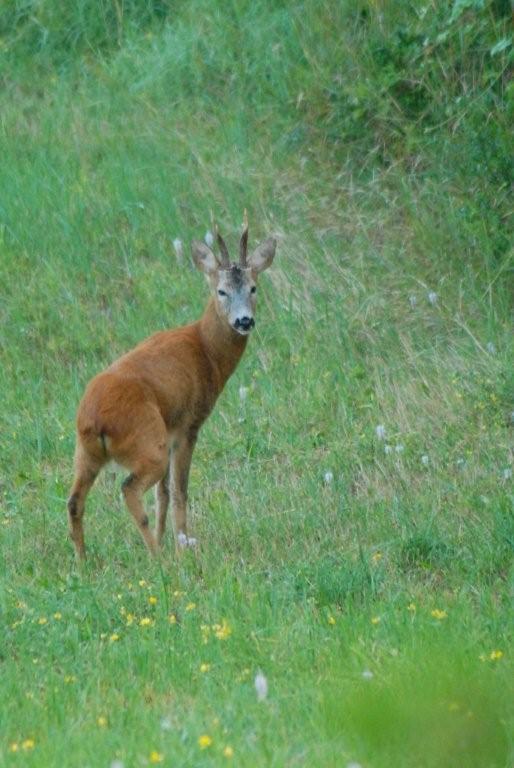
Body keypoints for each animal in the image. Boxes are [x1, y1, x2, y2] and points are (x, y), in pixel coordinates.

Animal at [69, 216, 276, 560]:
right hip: (147, 441)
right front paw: (181, 540)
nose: (244, 320)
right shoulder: (187, 425)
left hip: (87, 452)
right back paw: (156, 555)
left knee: (74, 500)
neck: (206, 350)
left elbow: (163, 493)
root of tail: (94, 419)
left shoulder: (169, 430)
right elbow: (179, 489)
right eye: (221, 291)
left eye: (253, 288)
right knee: (128, 488)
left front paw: (167, 536)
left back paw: (84, 560)